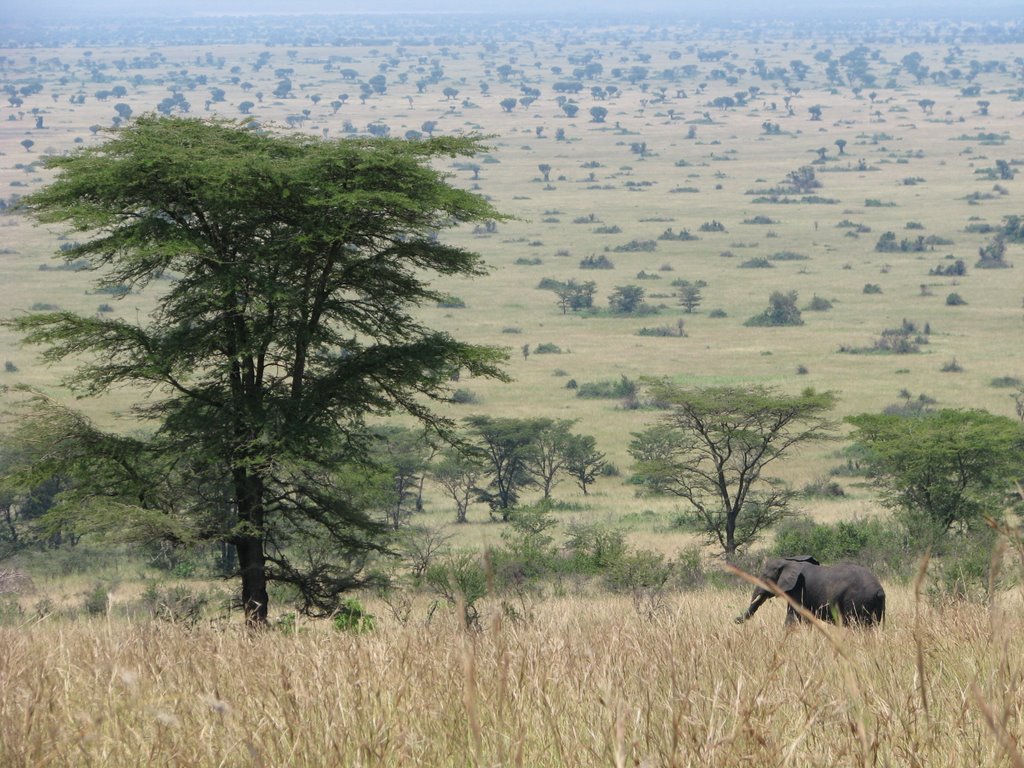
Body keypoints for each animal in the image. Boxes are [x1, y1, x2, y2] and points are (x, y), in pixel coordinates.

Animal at [733, 557, 884, 626]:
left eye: (765, 577)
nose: (735, 620)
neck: (788, 561)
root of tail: (880, 591)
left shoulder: (798, 590)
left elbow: (793, 616)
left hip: (857, 601)